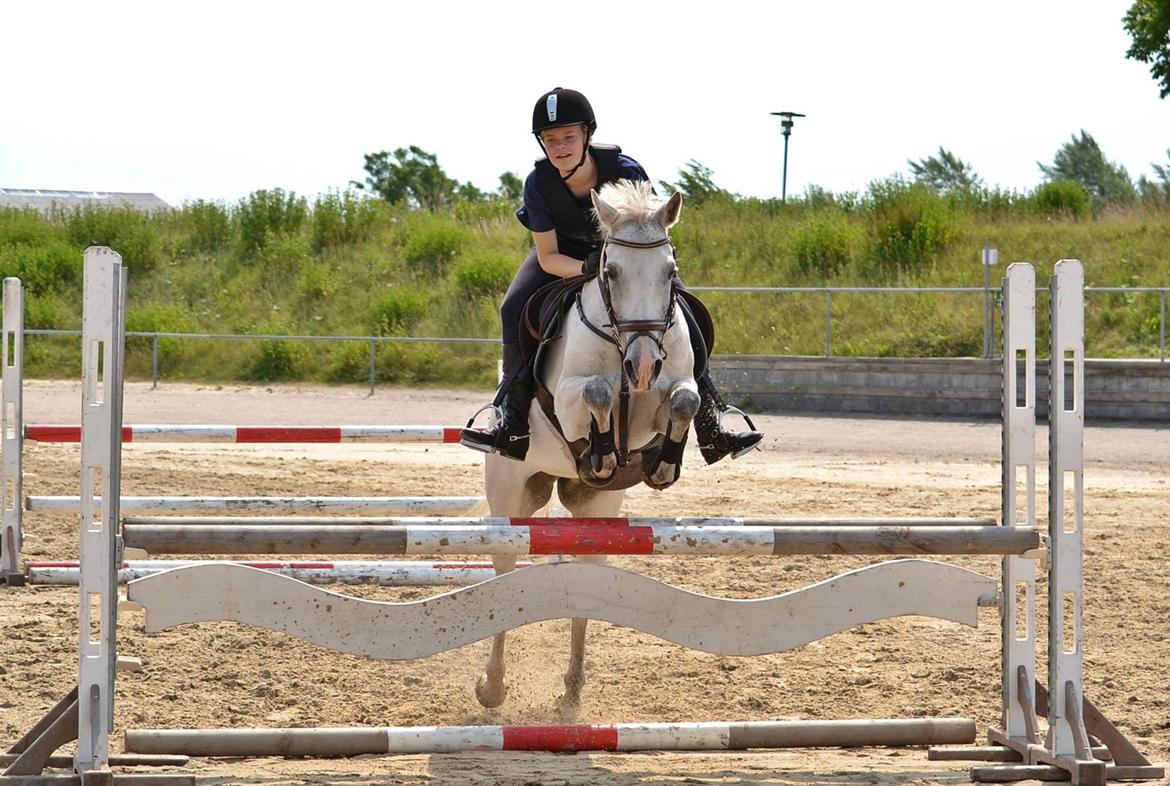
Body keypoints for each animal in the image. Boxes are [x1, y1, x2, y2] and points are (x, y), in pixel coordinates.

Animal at [476, 179, 699, 710]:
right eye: (610, 272)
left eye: (670, 271)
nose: (643, 364)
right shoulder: (571, 395)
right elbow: (596, 391)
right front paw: (599, 451)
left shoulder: (665, 393)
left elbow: (684, 400)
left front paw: (662, 464)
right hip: (509, 495)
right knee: (504, 570)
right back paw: (492, 685)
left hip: (595, 511)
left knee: (585, 576)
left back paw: (574, 687)